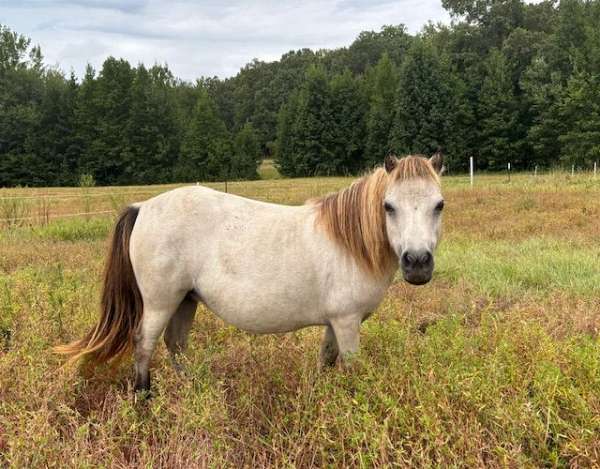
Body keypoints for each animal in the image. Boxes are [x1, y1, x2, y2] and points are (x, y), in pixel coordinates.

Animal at [57, 154, 446, 392]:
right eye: (388, 206)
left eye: (438, 205)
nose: (417, 263)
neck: (350, 243)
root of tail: (143, 207)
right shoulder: (347, 321)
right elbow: (350, 367)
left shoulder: (335, 322)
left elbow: (326, 360)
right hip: (160, 302)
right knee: (144, 345)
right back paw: (144, 401)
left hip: (185, 301)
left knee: (176, 345)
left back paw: (194, 390)